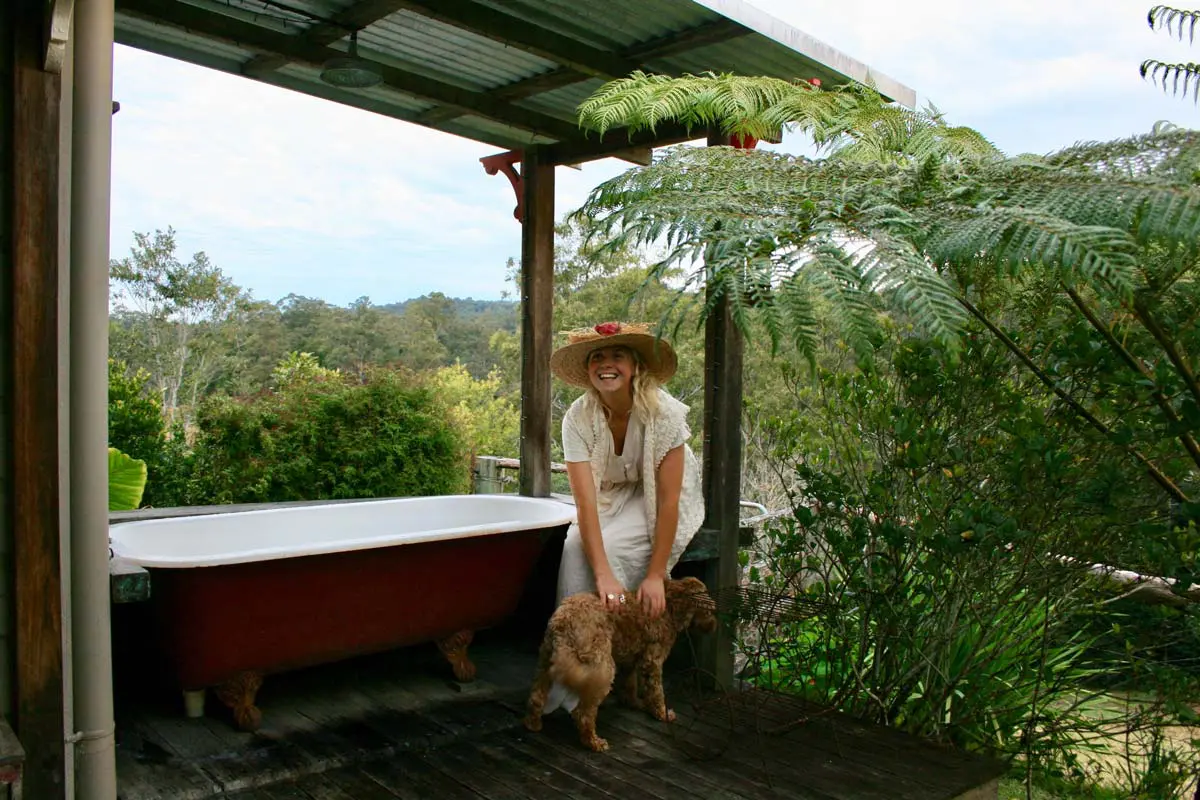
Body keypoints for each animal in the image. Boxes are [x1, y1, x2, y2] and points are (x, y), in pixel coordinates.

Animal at [523, 575, 710, 753]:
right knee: (582, 713)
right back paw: (594, 742)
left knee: (537, 696)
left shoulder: (631, 660)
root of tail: (563, 621)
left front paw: (634, 703)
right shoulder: (652, 661)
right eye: (709, 609)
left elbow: (630, 684)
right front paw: (662, 713)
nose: (711, 627)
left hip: (546, 661)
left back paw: (533, 723)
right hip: (601, 669)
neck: (672, 601)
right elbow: (656, 692)